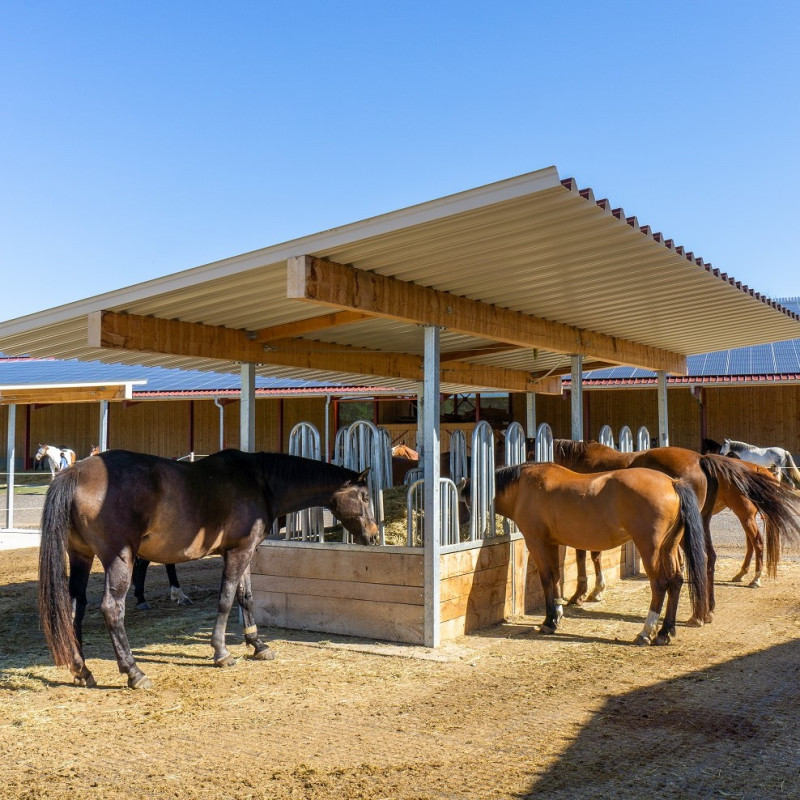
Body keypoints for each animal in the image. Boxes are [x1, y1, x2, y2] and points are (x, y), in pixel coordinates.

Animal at [40, 450, 382, 688]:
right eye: (364, 497)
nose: (374, 535)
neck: (259, 481)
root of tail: (75, 472)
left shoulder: (243, 551)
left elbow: (246, 597)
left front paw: (257, 645)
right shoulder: (239, 553)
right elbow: (226, 599)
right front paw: (221, 652)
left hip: (81, 556)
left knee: (74, 609)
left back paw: (82, 670)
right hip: (119, 557)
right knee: (112, 608)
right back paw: (134, 672)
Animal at [460, 462, 708, 644]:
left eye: (465, 502)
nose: (464, 529)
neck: (524, 486)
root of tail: (672, 482)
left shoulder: (537, 542)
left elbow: (546, 578)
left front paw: (549, 621)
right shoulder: (552, 544)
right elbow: (556, 578)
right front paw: (557, 616)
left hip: (650, 548)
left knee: (660, 584)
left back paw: (646, 632)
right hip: (669, 548)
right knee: (675, 581)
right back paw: (665, 631)